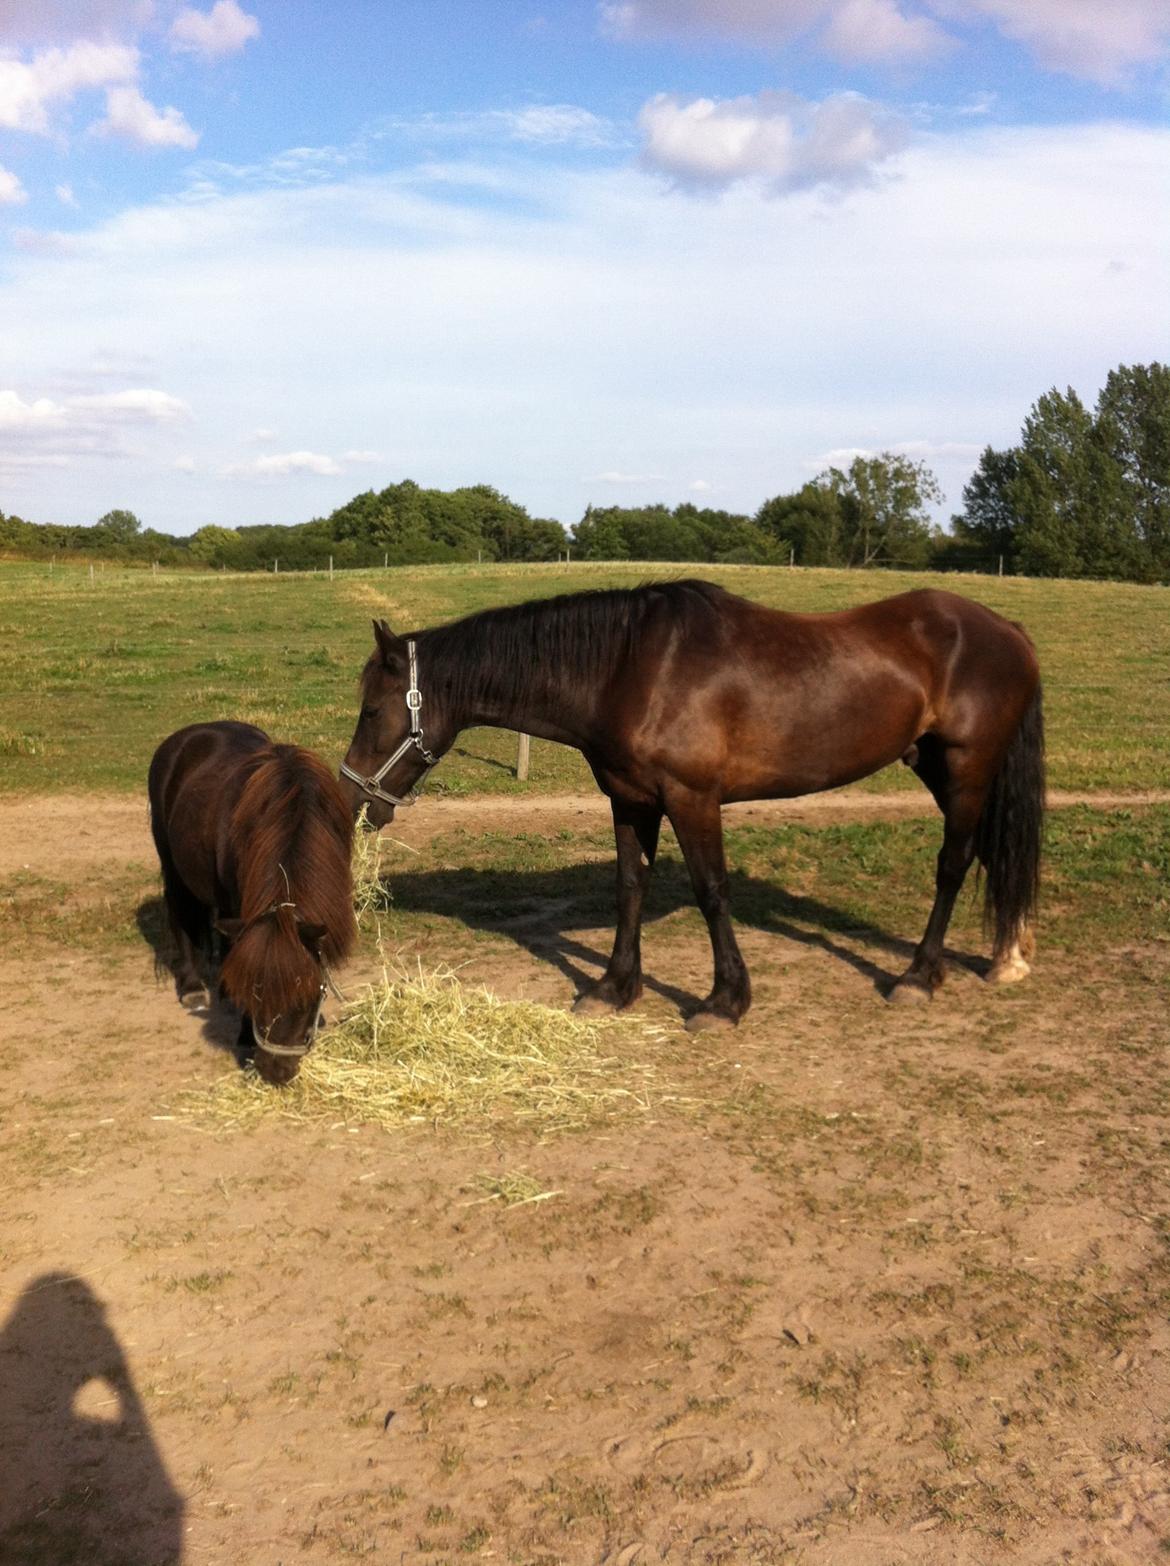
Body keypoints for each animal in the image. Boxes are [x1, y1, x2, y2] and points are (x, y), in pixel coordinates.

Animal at [148, 717, 357, 1077]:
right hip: (173, 867)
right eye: (255, 994)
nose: (275, 1072)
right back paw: (192, 987)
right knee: (181, 916)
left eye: (306, 997)